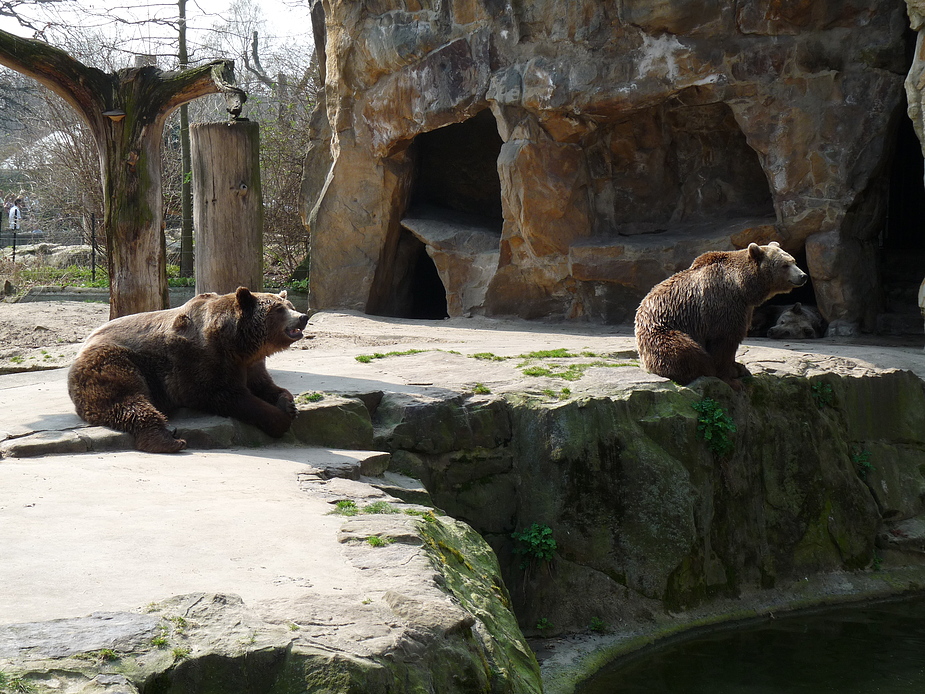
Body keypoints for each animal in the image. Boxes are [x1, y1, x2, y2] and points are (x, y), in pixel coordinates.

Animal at [69, 286, 306, 454]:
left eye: (290, 305)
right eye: (278, 309)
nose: (302, 317)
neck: (238, 343)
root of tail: (83, 346)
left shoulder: (251, 364)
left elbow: (264, 385)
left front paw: (288, 404)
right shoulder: (203, 360)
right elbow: (227, 395)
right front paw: (280, 419)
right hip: (113, 363)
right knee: (127, 400)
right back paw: (168, 440)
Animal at [636, 242, 808, 388]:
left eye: (794, 261)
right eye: (785, 265)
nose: (803, 276)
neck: (743, 288)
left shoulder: (745, 308)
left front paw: (739, 368)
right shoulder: (723, 304)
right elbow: (724, 340)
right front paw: (732, 378)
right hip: (662, 331)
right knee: (684, 350)